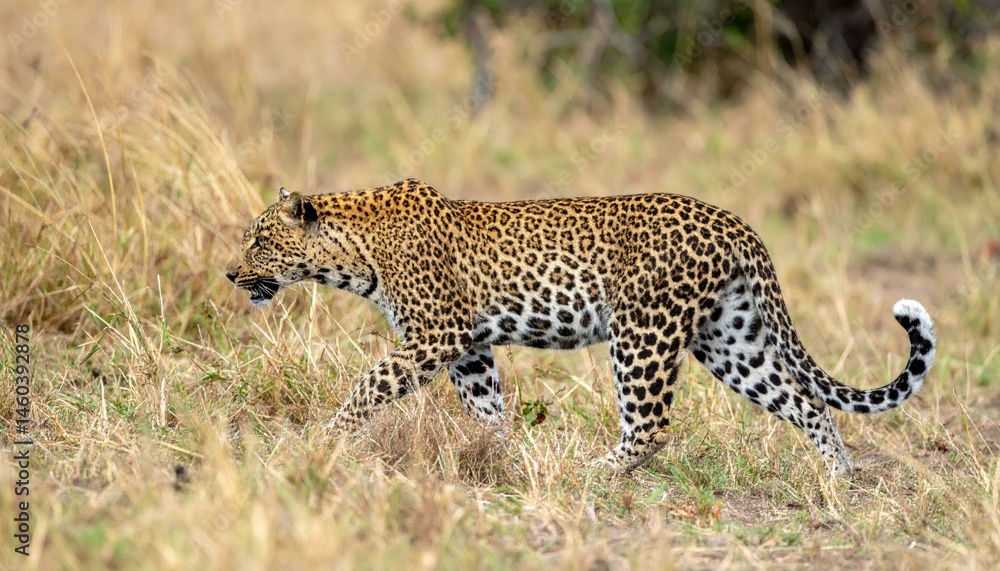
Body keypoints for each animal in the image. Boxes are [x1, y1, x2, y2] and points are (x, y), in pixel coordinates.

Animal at [225, 179, 936, 478]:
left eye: (259, 240)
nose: (231, 273)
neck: (353, 250)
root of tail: (736, 224)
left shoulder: (438, 337)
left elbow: (369, 384)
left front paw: (325, 440)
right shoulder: (470, 347)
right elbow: (488, 410)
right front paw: (501, 457)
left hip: (642, 333)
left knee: (652, 425)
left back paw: (595, 471)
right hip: (729, 338)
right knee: (808, 402)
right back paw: (839, 482)